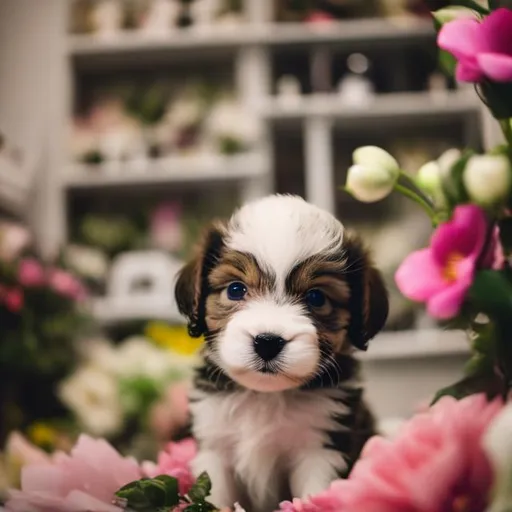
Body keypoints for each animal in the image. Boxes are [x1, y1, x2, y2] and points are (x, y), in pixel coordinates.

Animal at [175, 194, 388, 510]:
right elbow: (216, 495)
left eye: (316, 298)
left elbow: (313, 495)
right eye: (235, 290)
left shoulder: (321, 449)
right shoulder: (214, 446)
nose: (267, 341)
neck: (266, 397)